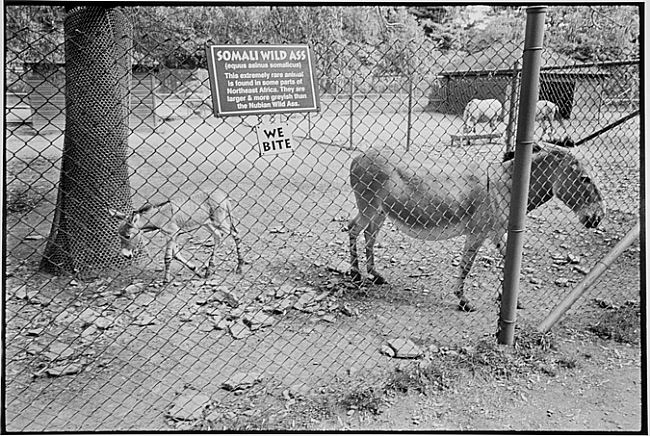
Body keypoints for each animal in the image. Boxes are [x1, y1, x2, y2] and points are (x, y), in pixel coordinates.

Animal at [109, 190, 244, 283]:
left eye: (127, 236)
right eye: (119, 235)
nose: (126, 255)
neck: (160, 216)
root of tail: (224, 196)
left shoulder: (171, 234)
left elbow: (168, 257)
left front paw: (166, 279)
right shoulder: (172, 235)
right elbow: (176, 255)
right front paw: (196, 270)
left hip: (219, 221)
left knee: (235, 234)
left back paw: (239, 267)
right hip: (208, 223)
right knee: (218, 236)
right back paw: (209, 269)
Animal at [348, 143, 605, 312]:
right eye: (584, 178)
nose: (599, 217)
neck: (508, 186)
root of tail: (358, 157)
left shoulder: (497, 232)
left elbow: (509, 260)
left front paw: (510, 299)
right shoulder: (477, 232)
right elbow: (467, 265)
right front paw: (463, 301)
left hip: (381, 212)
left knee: (369, 234)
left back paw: (374, 273)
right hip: (368, 206)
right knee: (353, 228)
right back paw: (356, 273)